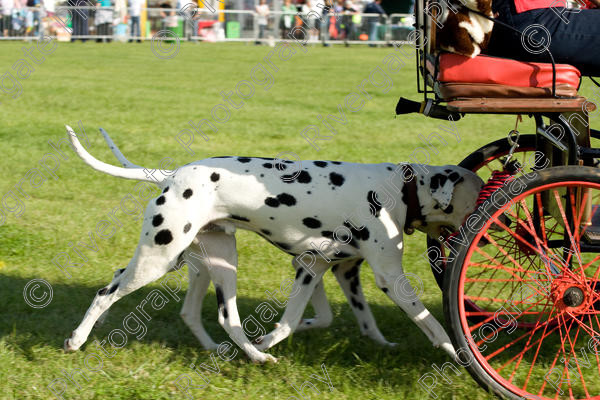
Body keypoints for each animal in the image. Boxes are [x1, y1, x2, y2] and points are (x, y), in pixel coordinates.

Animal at [62, 126, 482, 362]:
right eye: (479, 196)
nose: (492, 221)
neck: (401, 188)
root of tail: (171, 175)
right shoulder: (388, 279)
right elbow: (433, 324)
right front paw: (460, 355)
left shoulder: (317, 267)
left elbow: (306, 320)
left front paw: (271, 340)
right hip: (158, 260)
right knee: (106, 293)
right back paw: (77, 339)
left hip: (214, 263)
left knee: (219, 317)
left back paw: (249, 355)